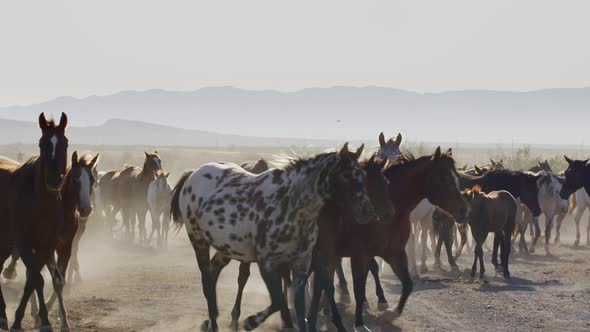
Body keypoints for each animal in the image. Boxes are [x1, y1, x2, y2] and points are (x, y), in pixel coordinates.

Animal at [0, 113, 69, 330]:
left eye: (64, 142)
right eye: (42, 143)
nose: (54, 179)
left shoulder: (46, 244)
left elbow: (32, 279)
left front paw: (35, 318)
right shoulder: (23, 242)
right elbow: (36, 278)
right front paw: (41, 320)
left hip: (5, 242)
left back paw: (3, 316)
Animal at [310, 148, 472, 332]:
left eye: (457, 178)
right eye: (443, 178)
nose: (464, 210)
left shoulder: (395, 253)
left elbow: (407, 284)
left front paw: (390, 313)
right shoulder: (359, 255)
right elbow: (359, 288)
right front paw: (359, 324)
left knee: (326, 278)